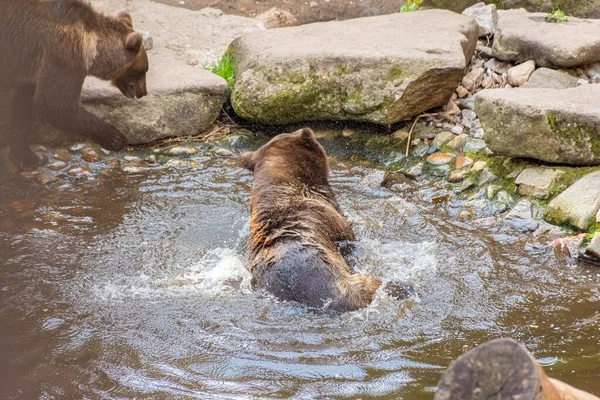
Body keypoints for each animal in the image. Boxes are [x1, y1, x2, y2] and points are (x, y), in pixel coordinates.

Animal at [0, 0, 149, 170]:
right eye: (142, 70)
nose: (143, 91)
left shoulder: (34, 67)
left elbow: (25, 106)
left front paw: (26, 156)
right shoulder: (64, 57)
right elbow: (55, 105)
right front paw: (116, 137)